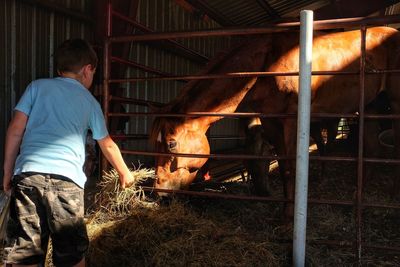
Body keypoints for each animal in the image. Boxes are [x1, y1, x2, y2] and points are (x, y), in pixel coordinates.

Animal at [149, 26, 400, 220]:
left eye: (171, 144)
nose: (159, 191)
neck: (268, 61)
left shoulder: (292, 121)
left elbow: (291, 169)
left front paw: (290, 218)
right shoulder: (271, 123)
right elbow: (282, 167)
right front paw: (284, 211)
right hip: (370, 107)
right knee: (373, 150)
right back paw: (358, 198)